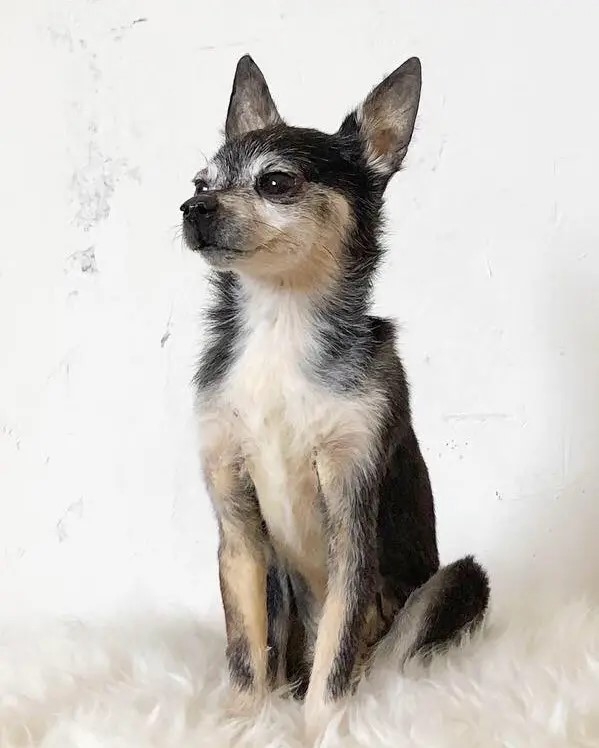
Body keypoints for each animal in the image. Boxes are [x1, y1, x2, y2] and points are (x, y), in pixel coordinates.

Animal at [180, 54, 490, 736]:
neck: (279, 321)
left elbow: (338, 648)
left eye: (276, 183)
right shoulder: (238, 533)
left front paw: (320, 726)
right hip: (277, 581)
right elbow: (244, 649)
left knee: (387, 656)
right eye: (199, 180)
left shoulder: (352, 513)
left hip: (453, 583)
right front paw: (243, 721)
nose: (192, 207)